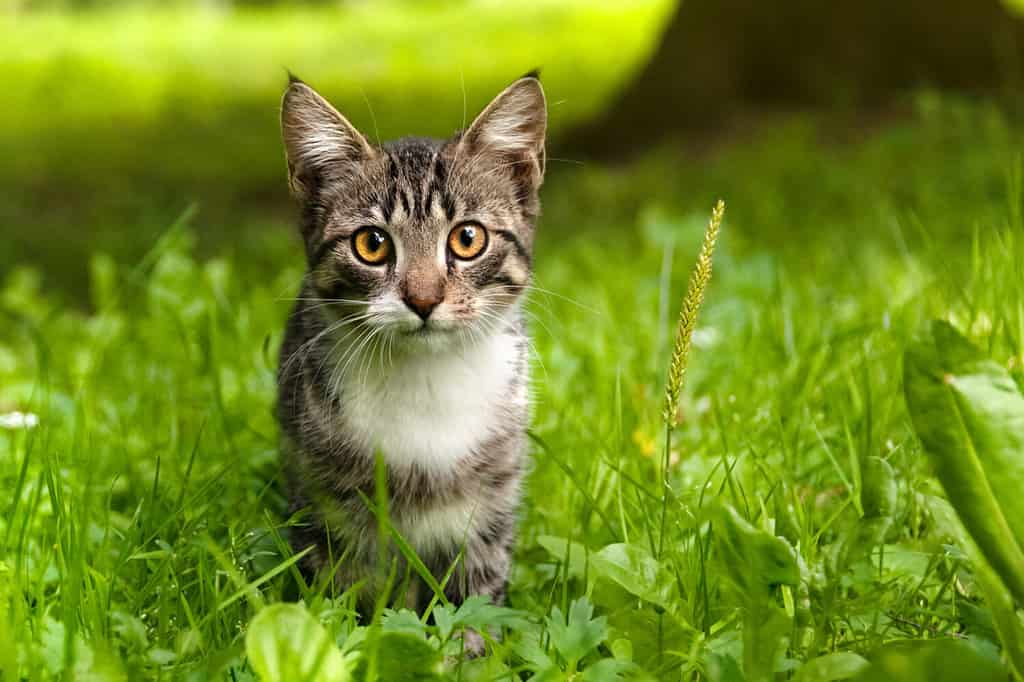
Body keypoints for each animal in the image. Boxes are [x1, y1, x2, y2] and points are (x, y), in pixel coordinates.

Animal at [272, 71, 544, 630]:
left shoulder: (491, 496)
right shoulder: (330, 500)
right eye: (372, 244)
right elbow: (349, 592)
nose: (423, 299)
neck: (426, 379)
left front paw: (470, 646)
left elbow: (475, 596)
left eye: (467, 238)